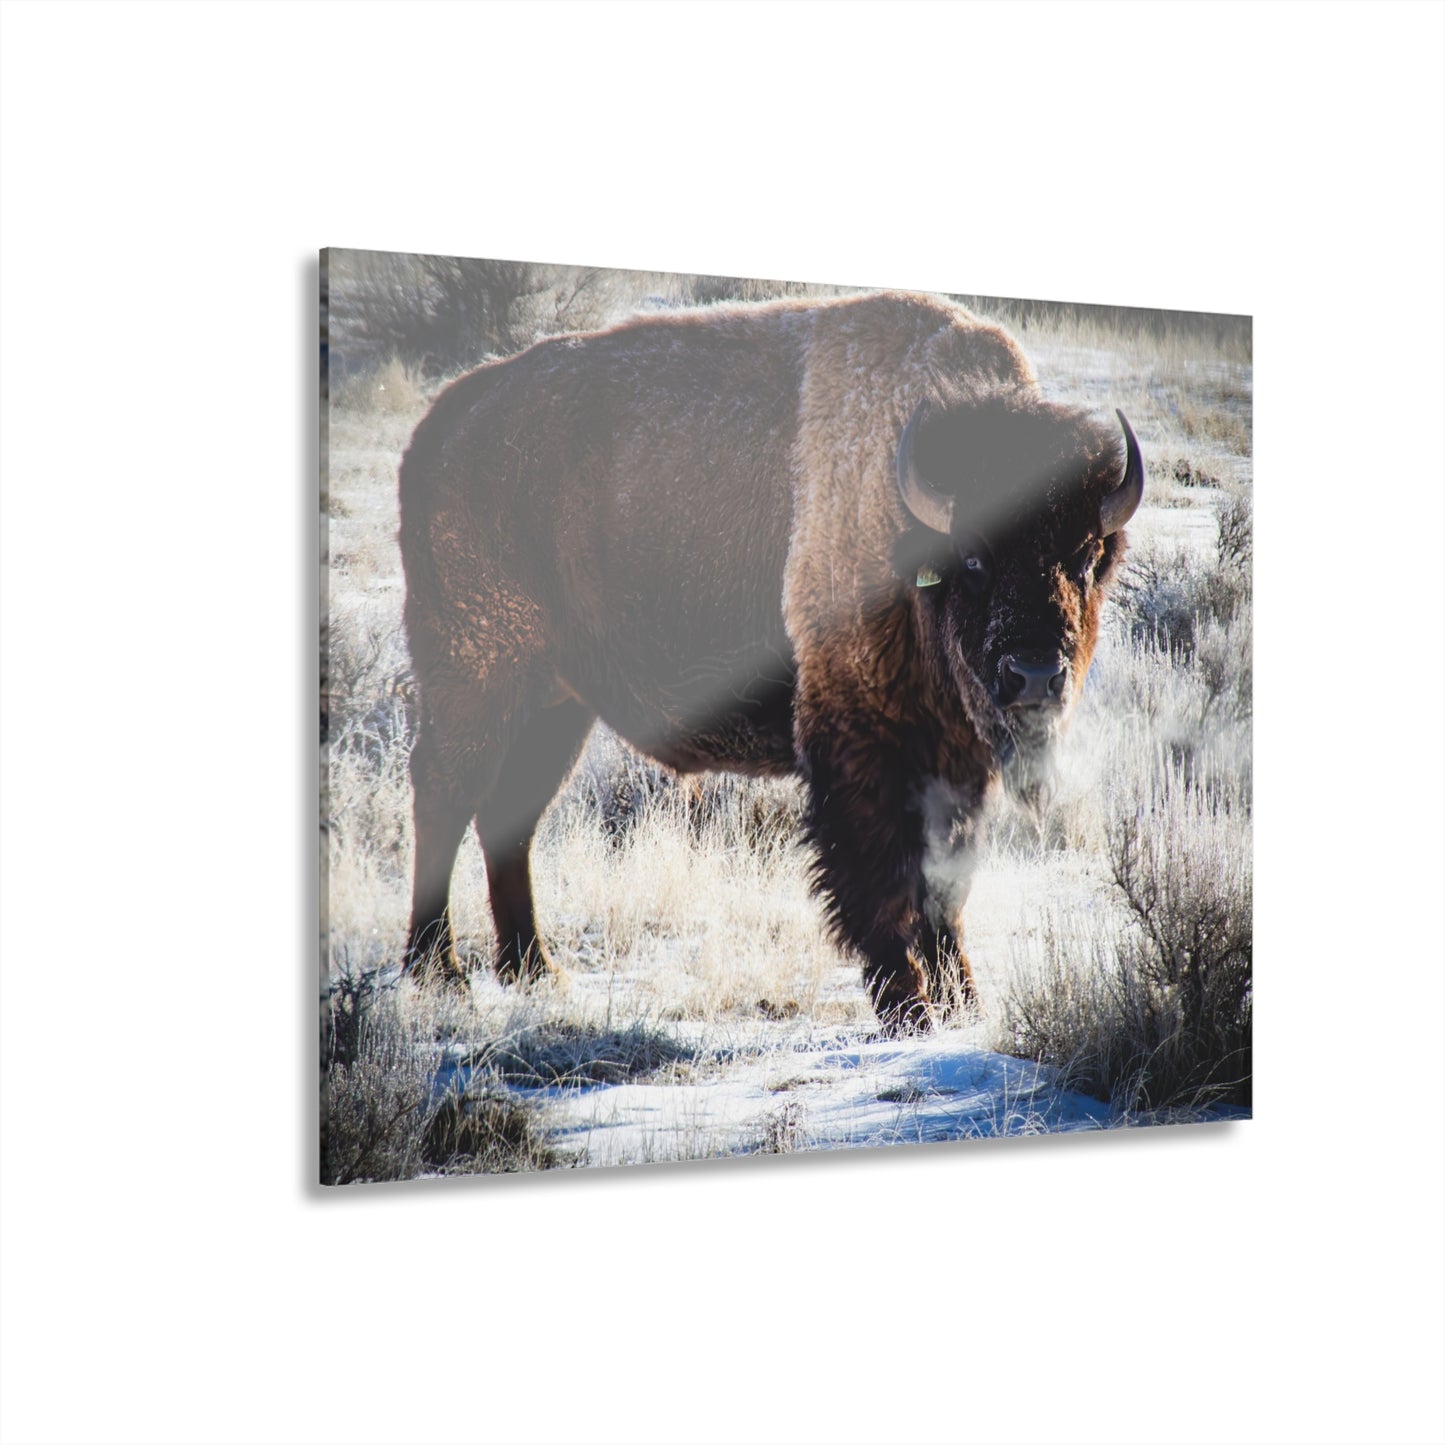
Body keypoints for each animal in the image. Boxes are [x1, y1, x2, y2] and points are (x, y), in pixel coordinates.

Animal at [396, 291, 1143, 1030]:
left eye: (1084, 557)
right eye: (974, 558)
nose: (1034, 675)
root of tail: (440, 426)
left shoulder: (955, 761)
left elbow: (945, 887)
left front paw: (964, 1003)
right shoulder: (863, 744)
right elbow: (883, 880)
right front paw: (909, 1008)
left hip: (556, 707)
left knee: (509, 817)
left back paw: (532, 970)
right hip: (477, 680)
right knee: (444, 799)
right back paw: (440, 971)